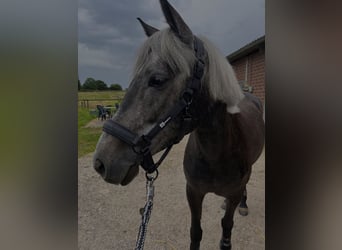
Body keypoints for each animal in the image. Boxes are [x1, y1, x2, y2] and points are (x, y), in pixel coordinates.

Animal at [93, 0, 264, 249]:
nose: (100, 162)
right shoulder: (193, 192)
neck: (217, 155)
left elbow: (226, 229)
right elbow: (195, 232)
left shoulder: (233, 192)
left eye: (157, 80)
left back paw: (243, 204)